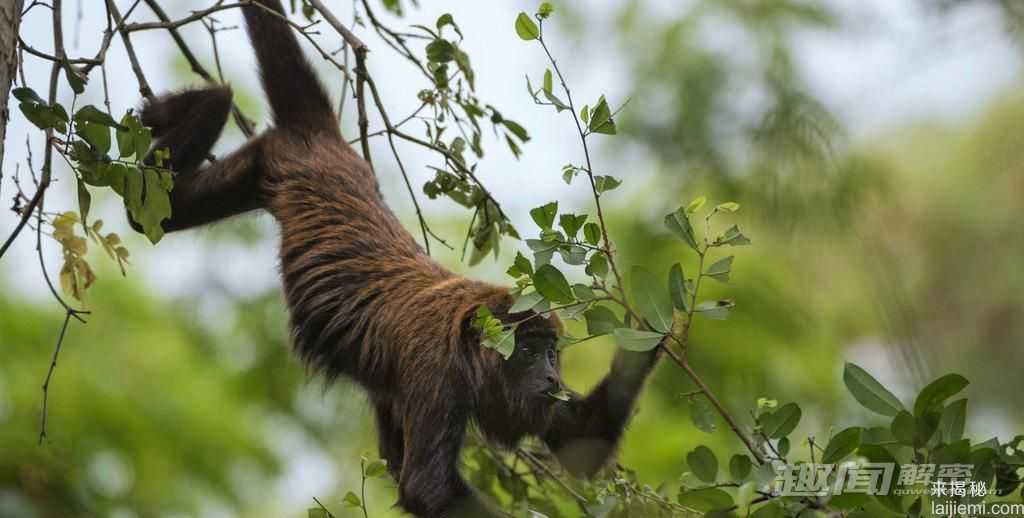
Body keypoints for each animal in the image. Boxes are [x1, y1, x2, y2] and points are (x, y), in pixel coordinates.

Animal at [136, 2, 659, 515]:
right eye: (528, 352)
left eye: (552, 353)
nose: (551, 374)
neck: (469, 344)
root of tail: (325, 140)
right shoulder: (437, 369)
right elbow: (429, 488)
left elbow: (580, 442)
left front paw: (655, 326)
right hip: (275, 161)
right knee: (152, 213)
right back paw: (198, 103)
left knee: (157, 213)